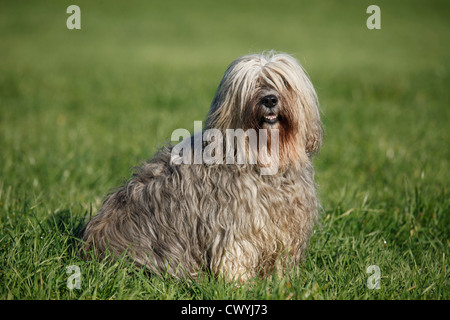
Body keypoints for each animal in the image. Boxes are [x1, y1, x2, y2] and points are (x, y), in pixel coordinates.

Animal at [79, 51, 322, 282]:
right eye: (252, 84)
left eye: (284, 82)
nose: (270, 99)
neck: (263, 159)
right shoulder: (234, 226)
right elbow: (235, 255)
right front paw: (240, 284)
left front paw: (281, 282)